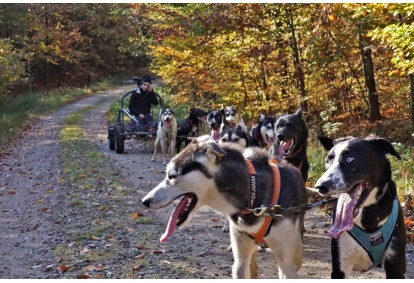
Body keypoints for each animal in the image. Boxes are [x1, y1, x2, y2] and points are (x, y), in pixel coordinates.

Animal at [142, 141, 308, 278]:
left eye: (171, 175)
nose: (145, 201)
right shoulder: (240, 261)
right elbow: (241, 267)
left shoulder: (287, 265)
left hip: (296, 254)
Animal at [316, 135, 406, 280]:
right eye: (327, 161)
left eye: (349, 159)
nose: (320, 186)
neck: (369, 214)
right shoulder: (340, 267)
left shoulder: (395, 266)